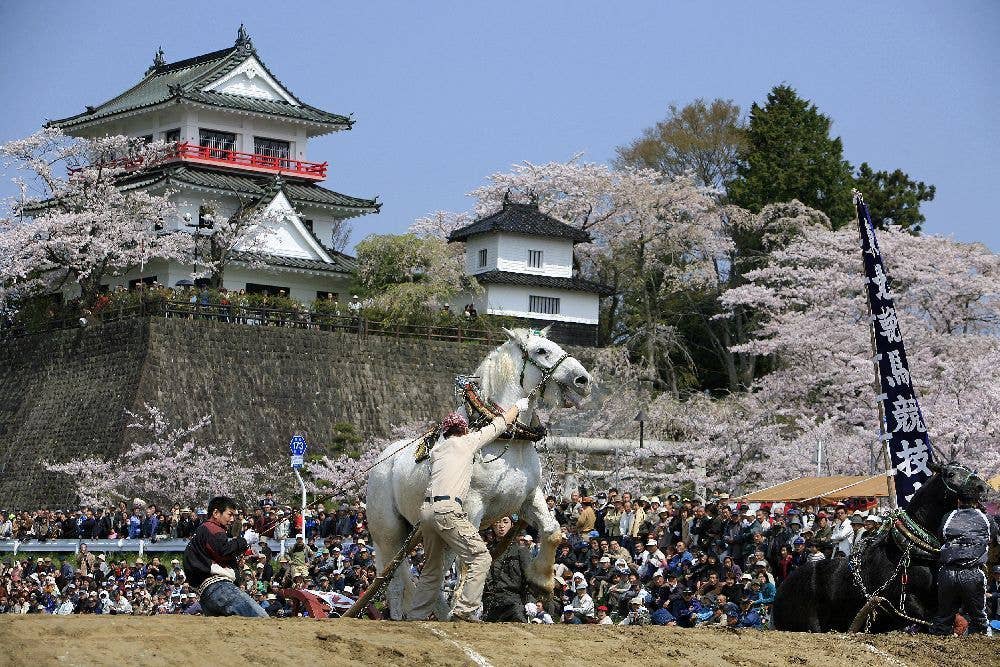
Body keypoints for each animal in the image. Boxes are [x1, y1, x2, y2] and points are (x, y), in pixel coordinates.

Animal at [368, 328, 592, 620]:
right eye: (541, 351)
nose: (583, 380)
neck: (509, 439)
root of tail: (382, 459)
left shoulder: (528, 497)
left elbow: (552, 530)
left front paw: (541, 581)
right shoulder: (473, 505)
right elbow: (469, 562)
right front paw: (469, 611)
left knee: (433, 577)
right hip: (389, 533)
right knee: (393, 581)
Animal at [768, 462, 988, 636]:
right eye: (950, 474)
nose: (982, 487)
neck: (911, 551)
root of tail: (781, 588)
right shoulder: (900, 601)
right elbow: (924, 617)